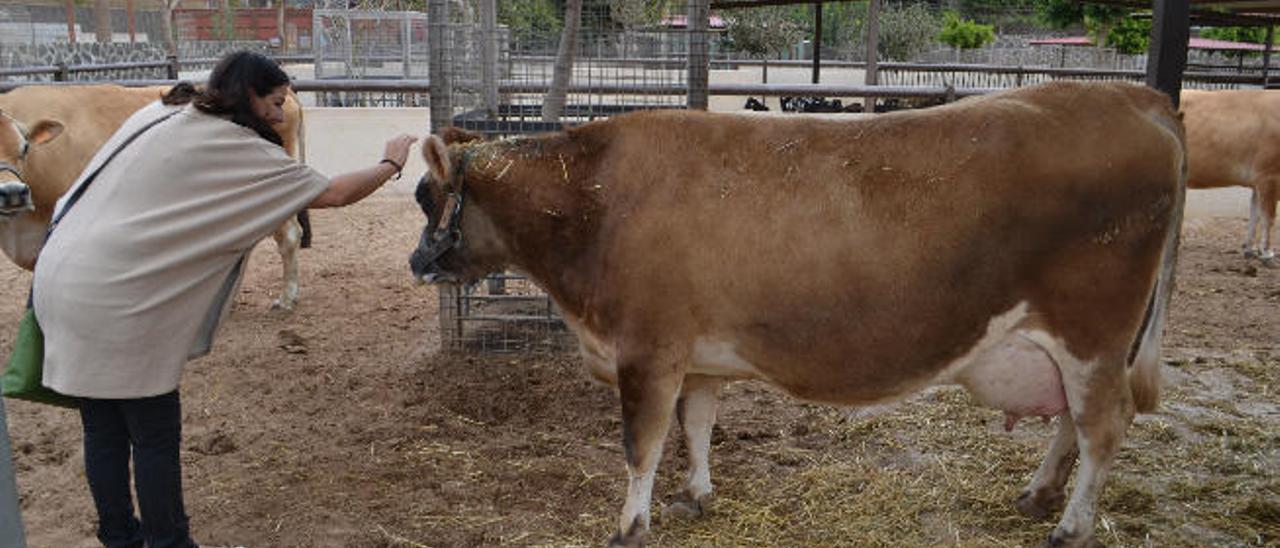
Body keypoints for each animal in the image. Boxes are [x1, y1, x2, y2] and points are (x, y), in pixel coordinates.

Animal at [412, 79, 1187, 545]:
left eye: (425, 195)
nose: (419, 262)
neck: (595, 199)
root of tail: (1130, 95)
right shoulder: (696, 356)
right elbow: (697, 427)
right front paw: (698, 495)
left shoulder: (647, 350)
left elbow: (642, 444)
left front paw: (630, 524)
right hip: (1078, 345)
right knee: (1072, 422)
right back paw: (1038, 495)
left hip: (1092, 332)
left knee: (1103, 425)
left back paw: (1071, 526)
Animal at [1182, 88, 1274, 263]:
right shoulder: (1268, 175)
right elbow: (1269, 217)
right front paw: (1267, 253)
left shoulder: (1258, 181)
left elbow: (1256, 214)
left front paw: (1250, 249)